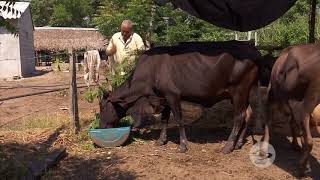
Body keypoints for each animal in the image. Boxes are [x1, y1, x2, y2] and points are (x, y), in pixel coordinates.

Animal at [101, 40, 262, 153]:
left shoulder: (173, 95)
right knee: (248, 114)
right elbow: (164, 119)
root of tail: (253, 49)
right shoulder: (164, 97)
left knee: (239, 116)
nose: (101, 127)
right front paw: (161, 140)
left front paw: (183, 145)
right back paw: (238, 143)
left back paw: (228, 146)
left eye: (102, 108)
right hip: (244, 92)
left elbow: (179, 120)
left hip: (239, 90)